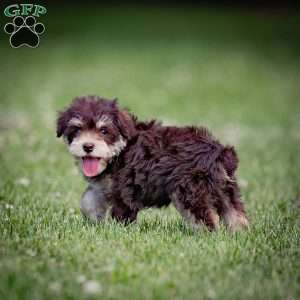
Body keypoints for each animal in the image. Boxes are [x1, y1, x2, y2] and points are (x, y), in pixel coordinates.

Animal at [56, 96, 248, 232]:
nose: (88, 146)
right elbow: (88, 200)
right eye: (77, 129)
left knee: (207, 219)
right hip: (224, 189)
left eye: (103, 130)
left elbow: (122, 214)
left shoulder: (125, 192)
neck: (120, 150)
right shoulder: (106, 186)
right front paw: (94, 218)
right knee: (235, 212)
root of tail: (218, 151)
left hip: (190, 192)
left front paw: (119, 232)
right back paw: (239, 233)